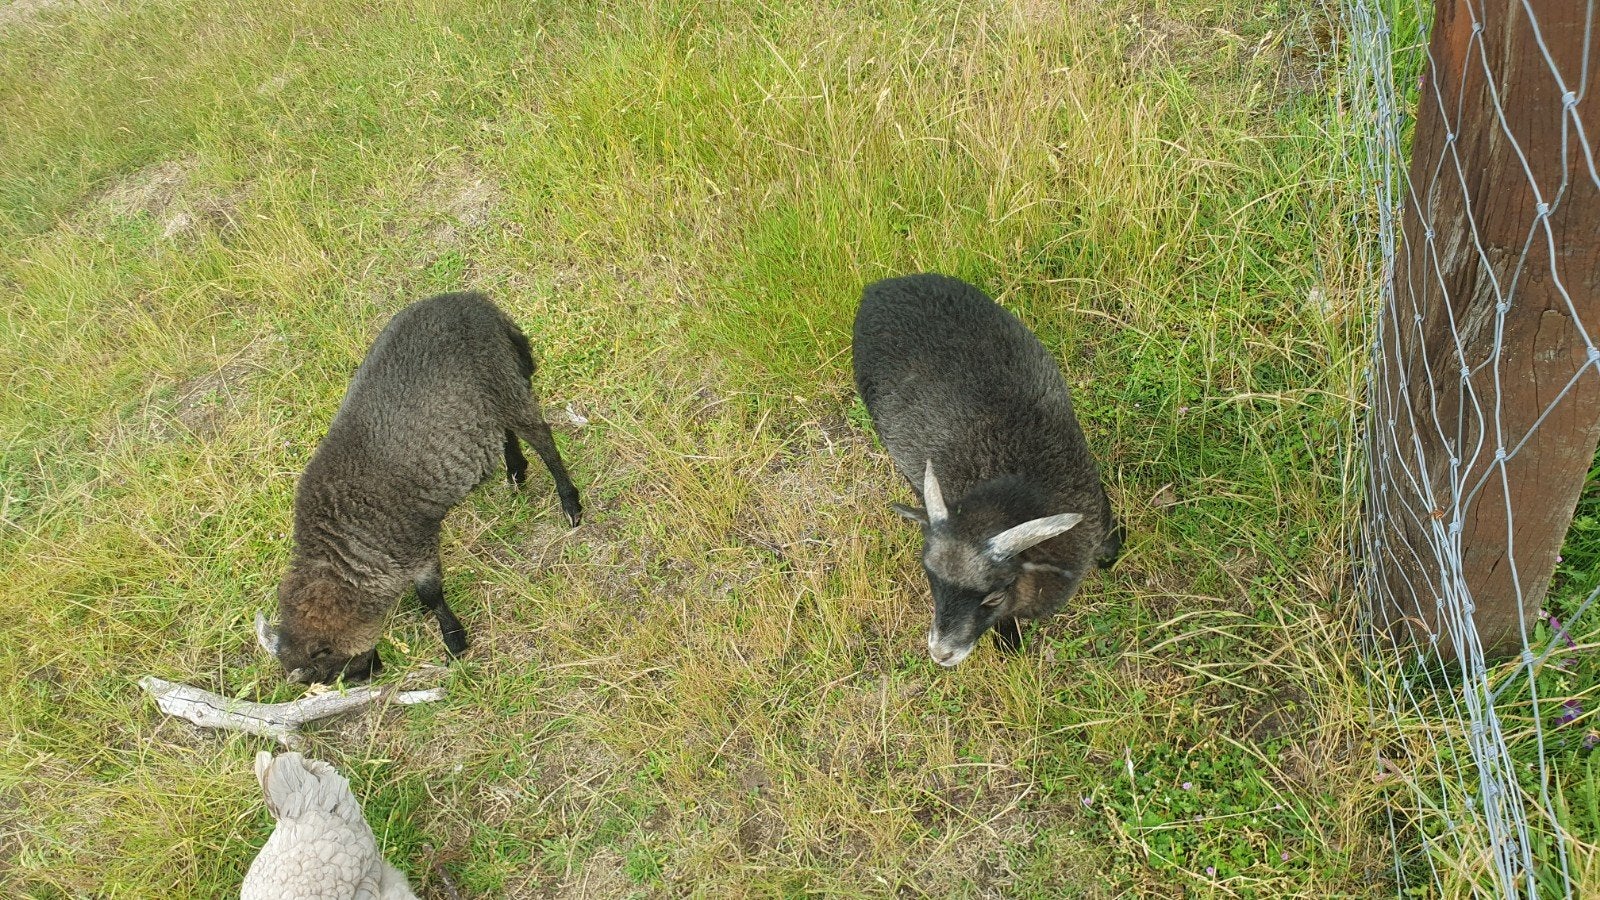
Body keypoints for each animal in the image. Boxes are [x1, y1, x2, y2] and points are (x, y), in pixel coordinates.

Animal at [256, 291, 581, 685]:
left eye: (326, 670)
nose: (373, 673)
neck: (348, 543)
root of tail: (474, 301)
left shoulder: (416, 544)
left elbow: (431, 594)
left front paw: (454, 641)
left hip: (504, 380)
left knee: (542, 437)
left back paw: (570, 503)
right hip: (487, 401)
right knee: (506, 432)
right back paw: (516, 473)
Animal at [851, 273, 1122, 667]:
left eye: (993, 595)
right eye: (930, 581)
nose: (940, 653)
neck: (1015, 487)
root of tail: (883, 285)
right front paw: (1009, 641)